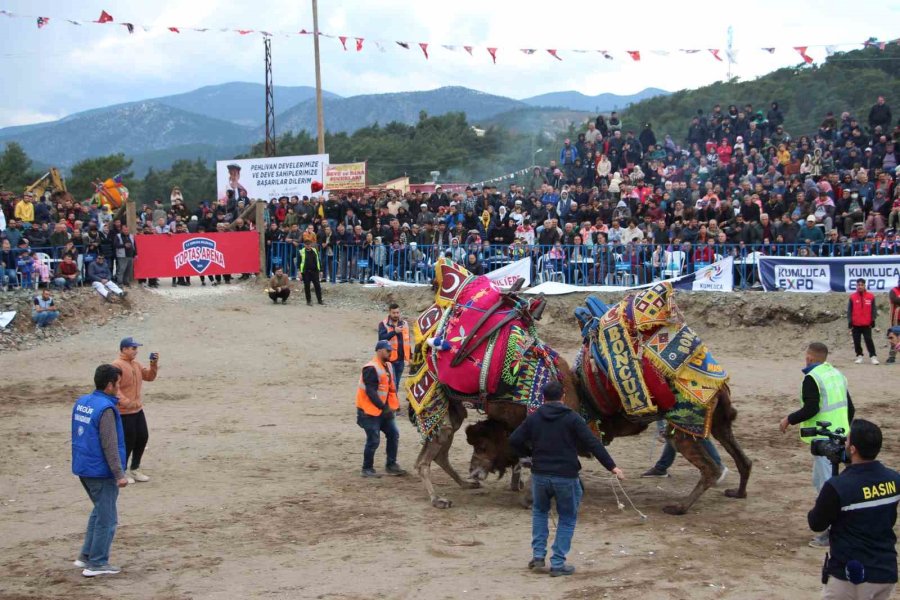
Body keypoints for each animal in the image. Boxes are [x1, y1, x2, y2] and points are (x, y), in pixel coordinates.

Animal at [464, 284, 752, 512]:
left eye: (482, 446)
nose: (472, 470)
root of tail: (718, 384)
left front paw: (529, 499)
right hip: (717, 421)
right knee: (742, 458)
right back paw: (738, 492)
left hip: (686, 424)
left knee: (709, 468)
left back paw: (679, 507)